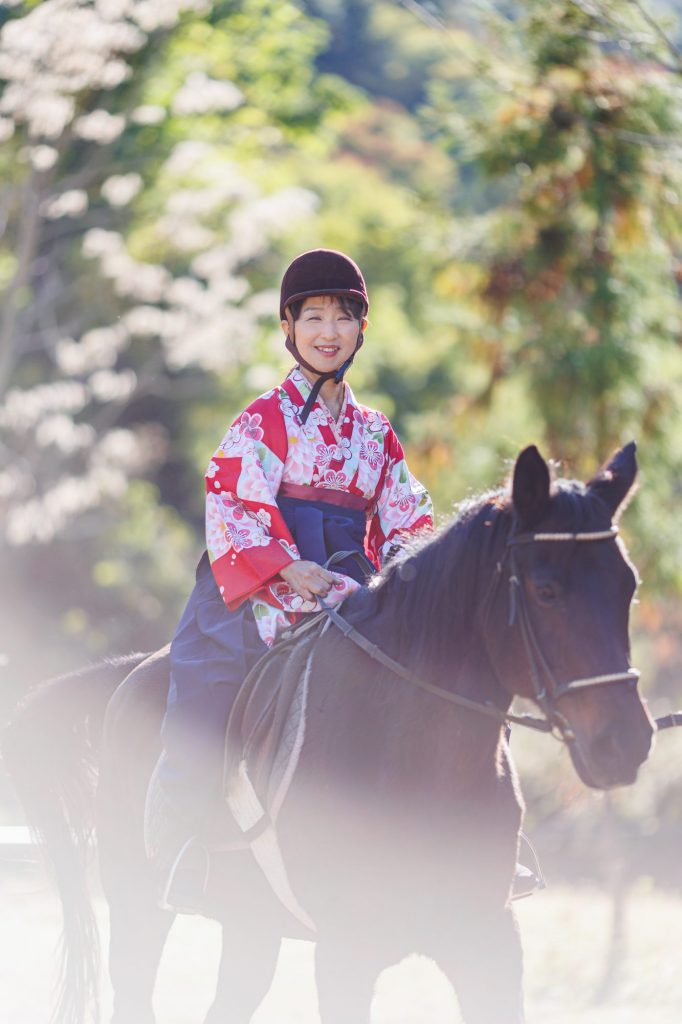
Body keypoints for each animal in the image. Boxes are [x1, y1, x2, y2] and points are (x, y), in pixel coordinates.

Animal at [2, 443, 655, 1024]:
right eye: (546, 590)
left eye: (628, 586)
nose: (625, 741)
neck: (412, 754)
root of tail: (132, 672)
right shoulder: (346, 953)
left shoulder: (488, 940)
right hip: (137, 903)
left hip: (250, 925)